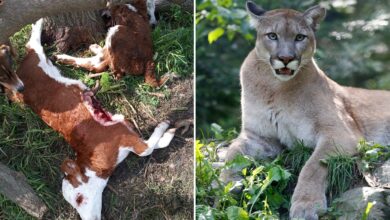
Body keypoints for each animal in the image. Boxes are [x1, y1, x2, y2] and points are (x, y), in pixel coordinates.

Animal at [14, 19, 174, 220]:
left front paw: (165, 125)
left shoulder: (126, 136)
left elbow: (149, 148)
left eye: (79, 199)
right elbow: (152, 146)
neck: (95, 166)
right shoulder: (129, 138)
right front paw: (169, 131)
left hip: (38, 63)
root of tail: (19, 82)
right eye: (76, 203)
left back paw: (41, 24)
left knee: (34, 44)